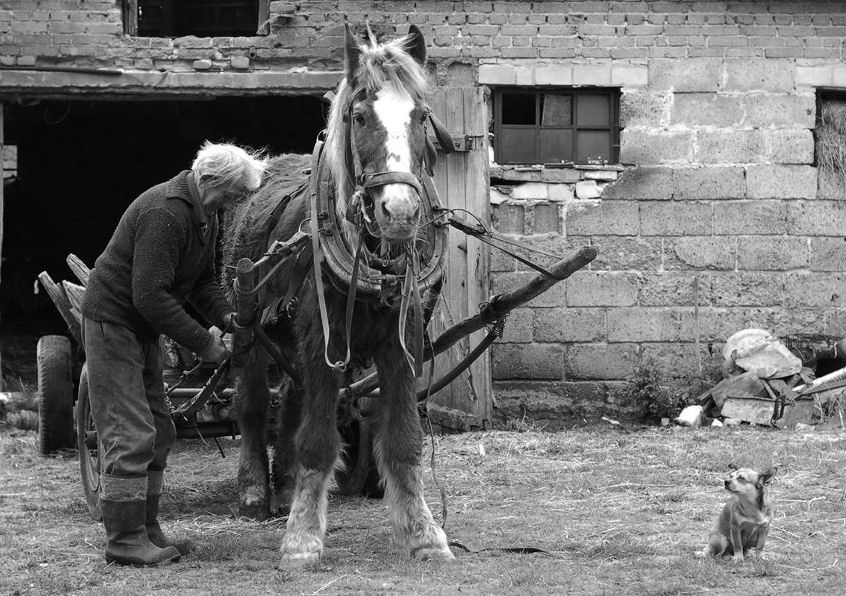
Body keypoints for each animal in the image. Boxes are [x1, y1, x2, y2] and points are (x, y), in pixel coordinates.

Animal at [220, 24, 458, 568]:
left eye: (421, 115)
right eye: (359, 116)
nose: (399, 212)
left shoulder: (400, 342)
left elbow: (403, 441)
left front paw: (423, 533)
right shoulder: (322, 344)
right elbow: (318, 441)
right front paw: (303, 538)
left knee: (289, 401)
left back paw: (286, 484)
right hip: (248, 329)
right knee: (252, 405)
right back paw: (255, 491)